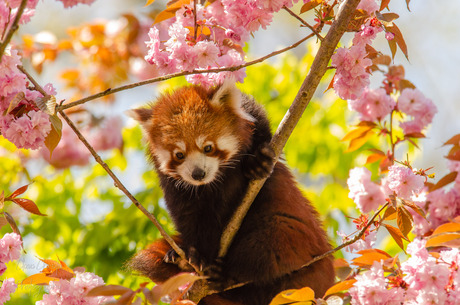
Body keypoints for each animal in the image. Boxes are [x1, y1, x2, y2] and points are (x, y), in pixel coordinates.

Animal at [126, 81, 334, 304]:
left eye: (208, 148)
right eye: (179, 155)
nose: (198, 174)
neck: (212, 183)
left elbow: (259, 119)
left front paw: (258, 160)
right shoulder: (177, 190)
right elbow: (189, 219)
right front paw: (194, 253)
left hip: (292, 235)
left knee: (267, 245)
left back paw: (225, 275)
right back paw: (180, 260)